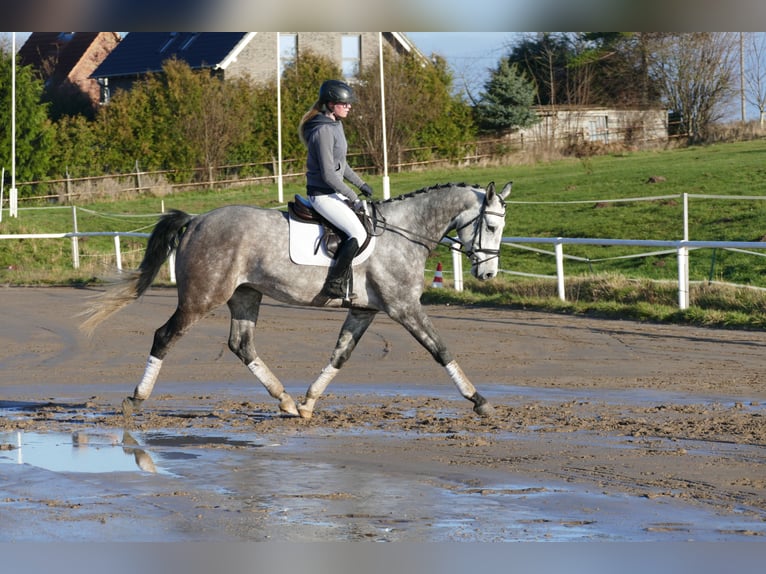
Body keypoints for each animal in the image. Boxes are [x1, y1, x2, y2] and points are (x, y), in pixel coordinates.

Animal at [80, 181, 512, 419]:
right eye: (491, 226)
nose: (488, 275)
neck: (404, 231)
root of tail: (197, 220)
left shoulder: (365, 310)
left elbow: (340, 355)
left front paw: (307, 403)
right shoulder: (404, 308)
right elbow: (440, 349)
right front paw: (479, 401)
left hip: (245, 295)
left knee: (241, 344)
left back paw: (285, 401)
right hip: (202, 297)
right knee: (165, 336)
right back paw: (136, 399)